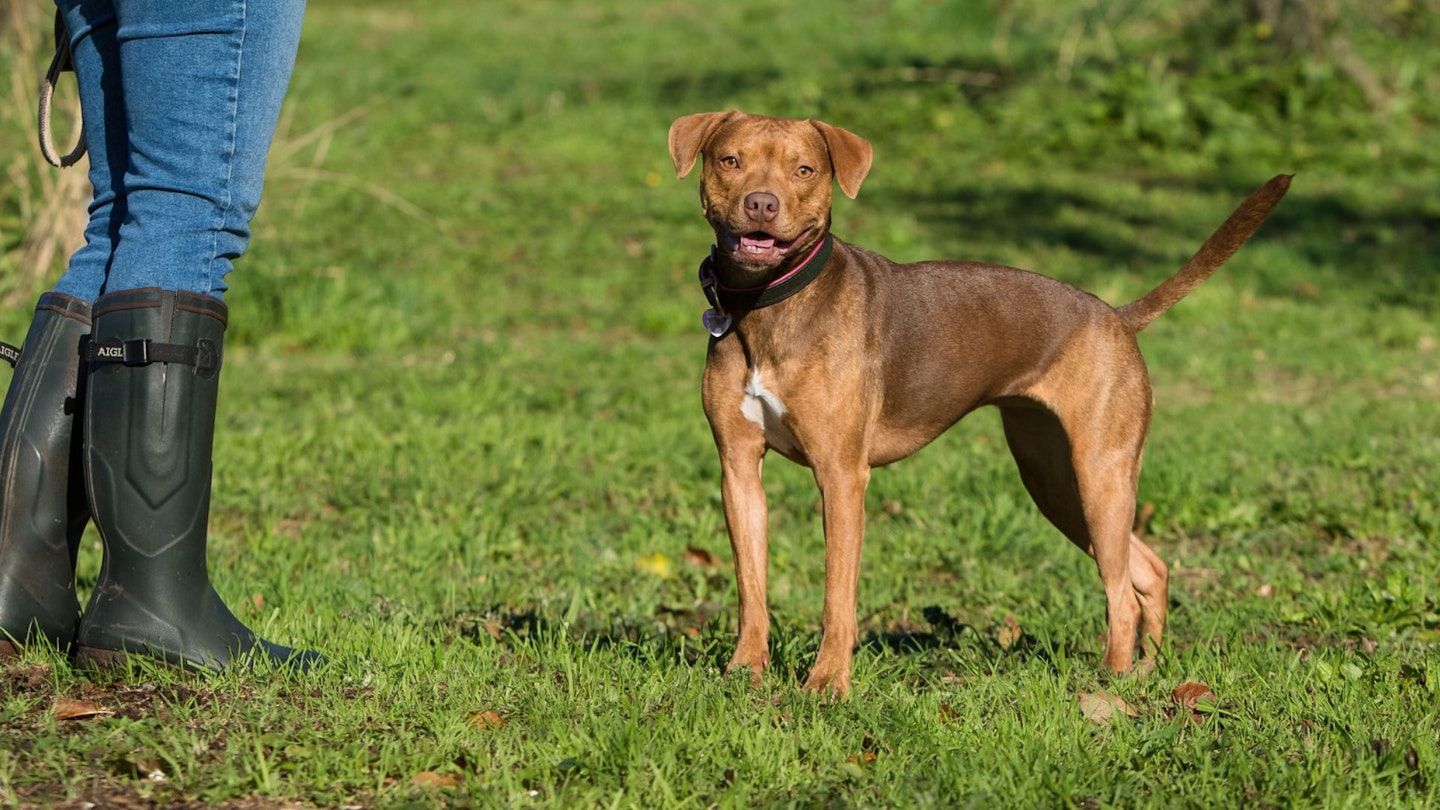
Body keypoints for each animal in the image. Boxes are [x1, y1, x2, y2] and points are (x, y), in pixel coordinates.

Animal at [671, 110, 1296, 697]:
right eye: (729, 160)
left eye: (804, 169)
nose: (761, 203)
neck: (771, 304)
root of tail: (1117, 317)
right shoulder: (738, 471)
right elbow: (751, 587)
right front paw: (745, 671)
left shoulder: (842, 476)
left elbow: (837, 597)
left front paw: (827, 684)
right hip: (1056, 482)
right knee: (1148, 569)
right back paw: (1149, 669)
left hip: (1101, 474)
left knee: (1120, 592)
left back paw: (1112, 683)